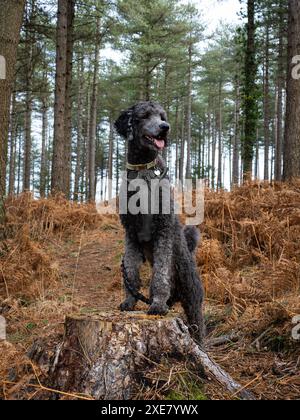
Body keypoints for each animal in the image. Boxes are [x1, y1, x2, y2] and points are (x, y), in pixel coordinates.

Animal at [114, 100, 204, 342]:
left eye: (162, 116)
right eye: (145, 115)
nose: (165, 127)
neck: (144, 171)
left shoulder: (163, 229)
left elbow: (160, 274)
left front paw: (157, 304)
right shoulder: (130, 233)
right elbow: (131, 271)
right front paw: (130, 301)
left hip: (193, 299)